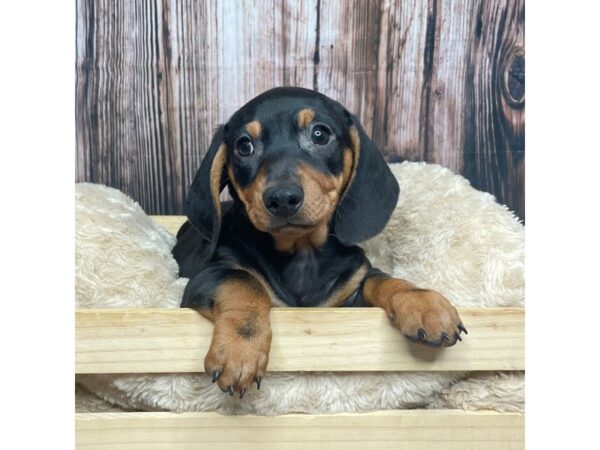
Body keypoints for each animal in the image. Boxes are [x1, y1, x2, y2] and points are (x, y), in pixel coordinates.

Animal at [171, 87, 466, 398]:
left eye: (320, 135)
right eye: (244, 146)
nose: (282, 198)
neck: (302, 252)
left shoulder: (350, 294)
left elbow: (382, 279)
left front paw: (423, 303)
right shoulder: (209, 274)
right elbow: (243, 283)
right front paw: (240, 352)